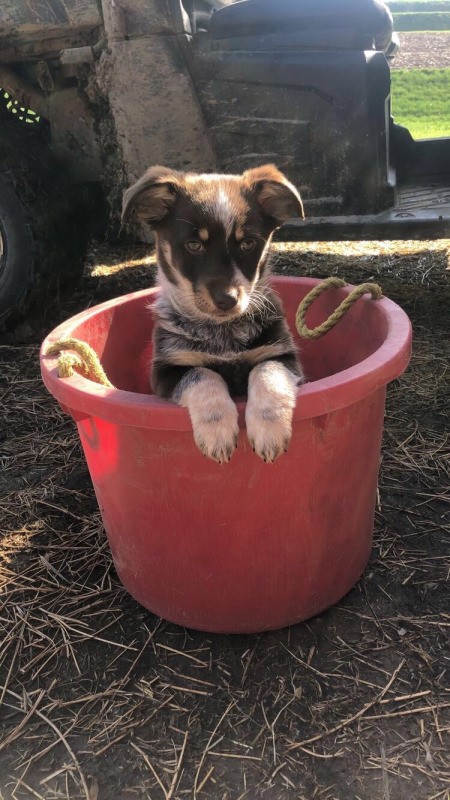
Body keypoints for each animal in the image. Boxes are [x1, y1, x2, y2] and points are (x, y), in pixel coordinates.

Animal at [123, 164, 304, 462]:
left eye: (247, 244)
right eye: (194, 245)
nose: (227, 299)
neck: (221, 331)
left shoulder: (282, 355)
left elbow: (266, 371)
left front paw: (270, 429)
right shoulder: (167, 370)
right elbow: (204, 376)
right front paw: (217, 433)